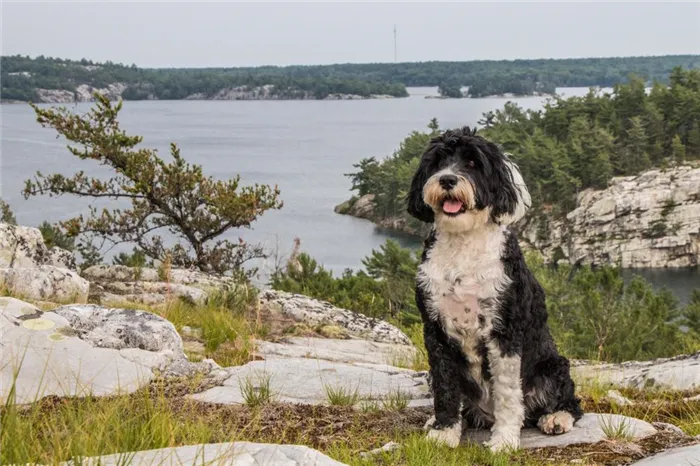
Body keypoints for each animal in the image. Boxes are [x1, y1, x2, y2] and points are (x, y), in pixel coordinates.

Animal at [408, 126, 584, 452]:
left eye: (473, 163)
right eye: (437, 162)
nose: (447, 179)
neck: (463, 243)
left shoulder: (504, 330)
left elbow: (507, 392)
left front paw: (503, 440)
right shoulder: (436, 331)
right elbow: (445, 388)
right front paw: (444, 431)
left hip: (551, 366)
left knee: (568, 401)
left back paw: (557, 418)